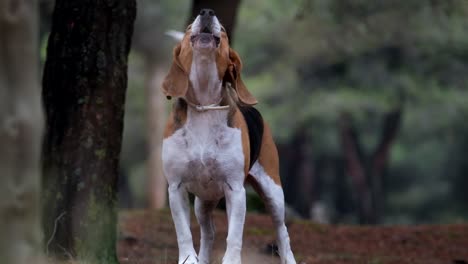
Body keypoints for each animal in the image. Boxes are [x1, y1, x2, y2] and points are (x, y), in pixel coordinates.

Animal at [163, 8, 296, 264]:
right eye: (188, 28)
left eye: (223, 31)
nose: (206, 12)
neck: (204, 105)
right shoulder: (176, 187)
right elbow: (183, 232)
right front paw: (189, 259)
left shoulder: (235, 189)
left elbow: (234, 235)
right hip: (203, 203)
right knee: (208, 233)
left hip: (273, 192)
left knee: (282, 231)